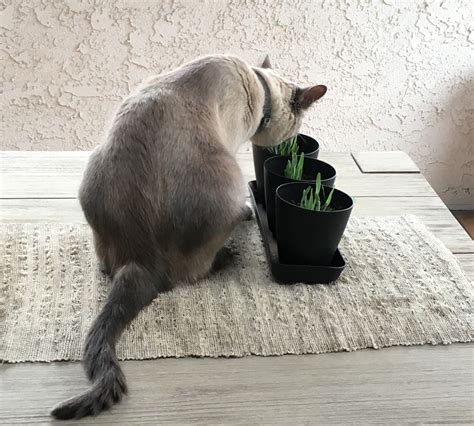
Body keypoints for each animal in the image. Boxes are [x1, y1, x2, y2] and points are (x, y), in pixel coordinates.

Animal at [51, 53, 326, 420]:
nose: (290, 146)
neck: (258, 87)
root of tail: (138, 259)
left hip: (92, 171)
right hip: (230, 180)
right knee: (197, 268)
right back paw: (227, 254)